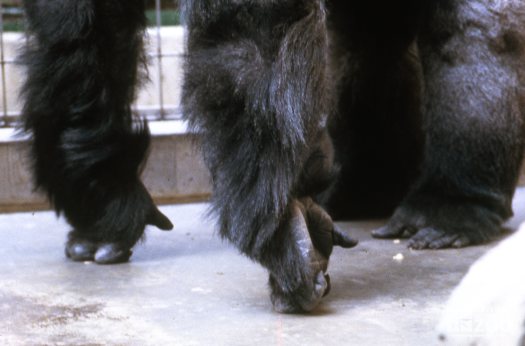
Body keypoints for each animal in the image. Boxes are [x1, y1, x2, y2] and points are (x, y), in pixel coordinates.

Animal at [20, 0, 524, 312]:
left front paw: (287, 226)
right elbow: (81, 22)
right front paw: (104, 197)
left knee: (473, 31)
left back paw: (451, 204)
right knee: (363, 43)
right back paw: (365, 187)